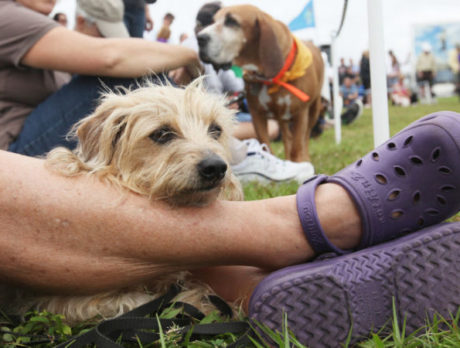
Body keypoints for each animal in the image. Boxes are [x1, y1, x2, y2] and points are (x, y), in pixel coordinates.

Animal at [4, 79, 244, 324]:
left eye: (216, 129)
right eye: (162, 133)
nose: (216, 167)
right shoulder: (68, 299)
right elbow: (135, 301)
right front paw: (199, 302)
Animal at [198, 4, 324, 162]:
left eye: (232, 21)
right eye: (212, 21)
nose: (199, 38)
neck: (271, 78)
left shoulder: (300, 114)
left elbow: (297, 147)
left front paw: (301, 163)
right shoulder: (257, 114)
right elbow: (266, 144)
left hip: (313, 110)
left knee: (305, 138)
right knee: (287, 138)